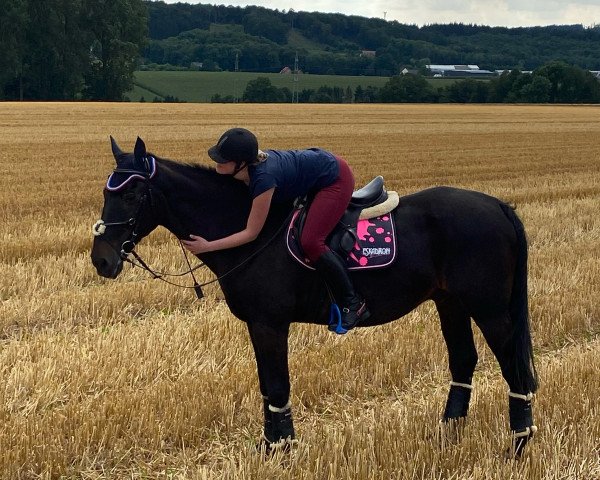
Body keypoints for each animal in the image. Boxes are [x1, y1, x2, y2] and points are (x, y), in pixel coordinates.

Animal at [92, 138, 540, 458]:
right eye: (106, 193)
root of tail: (498, 206)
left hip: (490, 310)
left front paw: (278, 448)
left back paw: (518, 443)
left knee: (515, 369)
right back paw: (448, 434)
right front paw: (275, 443)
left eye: (131, 195)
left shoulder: (269, 323)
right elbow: (267, 385)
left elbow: (276, 385)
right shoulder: (262, 325)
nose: (102, 259)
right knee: (463, 360)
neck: (249, 231)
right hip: (451, 303)